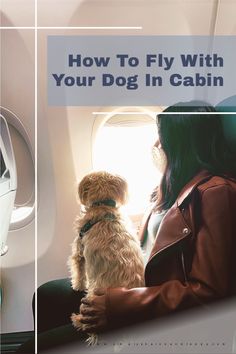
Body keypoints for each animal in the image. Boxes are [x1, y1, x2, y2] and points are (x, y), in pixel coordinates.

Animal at [68, 171, 145, 342]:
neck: (103, 205)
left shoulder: (79, 251)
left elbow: (79, 271)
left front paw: (77, 285)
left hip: (89, 301)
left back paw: (76, 319)